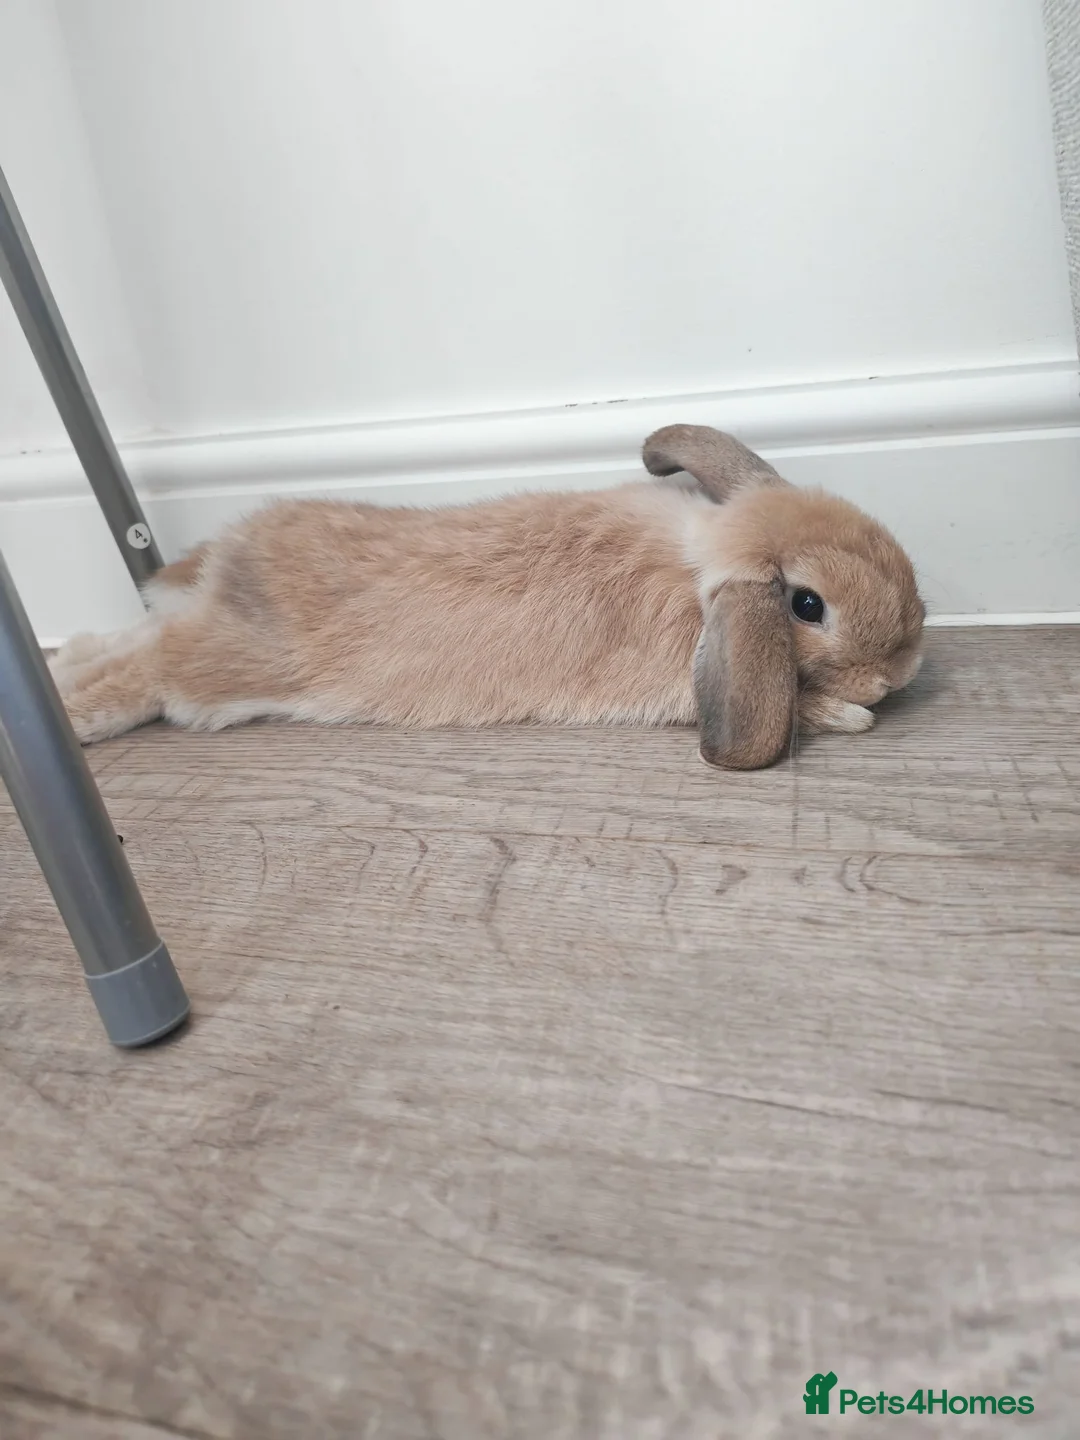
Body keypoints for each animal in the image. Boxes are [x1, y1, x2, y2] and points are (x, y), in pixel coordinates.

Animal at [49, 424, 925, 769]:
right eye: (807, 606)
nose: (905, 669)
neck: (701, 556)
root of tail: (230, 556)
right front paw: (851, 713)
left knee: (136, 635)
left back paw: (66, 662)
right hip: (222, 668)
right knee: (151, 668)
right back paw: (68, 716)